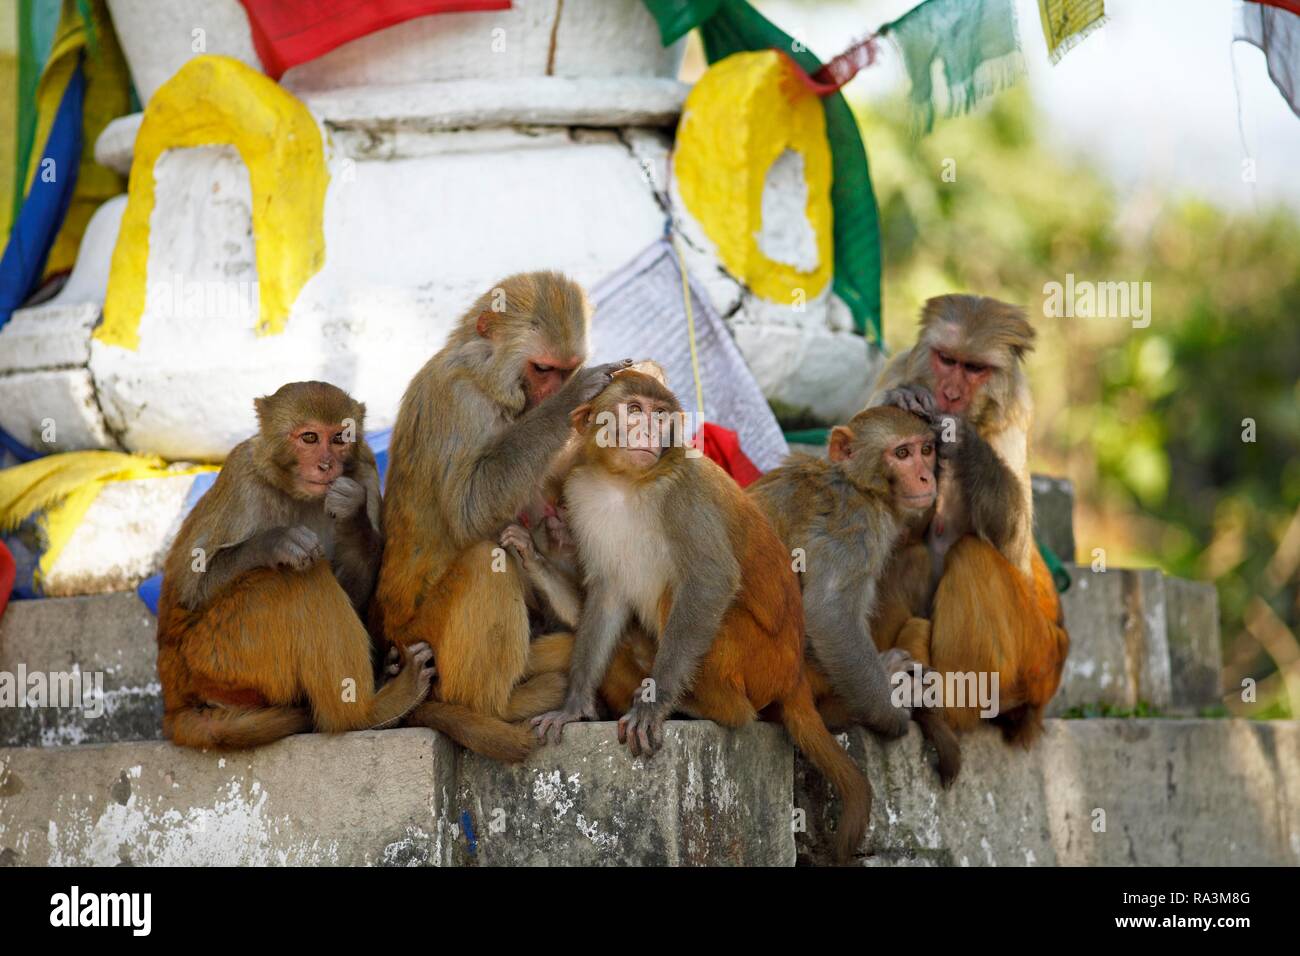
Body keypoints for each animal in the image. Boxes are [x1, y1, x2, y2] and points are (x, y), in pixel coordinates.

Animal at [156, 379, 431, 749]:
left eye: (339, 438)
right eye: (310, 438)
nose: (327, 465)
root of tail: (173, 700)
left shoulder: (367, 470)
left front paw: (352, 511)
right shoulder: (242, 476)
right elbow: (191, 590)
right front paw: (276, 542)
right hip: (212, 658)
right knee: (295, 579)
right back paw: (364, 713)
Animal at [374, 270, 631, 764]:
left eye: (566, 366)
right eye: (544, 370)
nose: (556, 391)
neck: (487, 379)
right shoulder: (458, 403)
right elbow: (468, 508)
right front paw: (571, 401)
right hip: (425, 641)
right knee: (483, 560)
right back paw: (497, 706)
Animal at [754, 403, 967, 785]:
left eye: (926, 450)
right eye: (902, 453)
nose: (926, 479)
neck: (860, 485)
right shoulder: (857, 524)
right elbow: (829, 613)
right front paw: (892, 714)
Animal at [868, 295, 1071, 743]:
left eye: (974, 369)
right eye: (947, 360)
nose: (950, 393)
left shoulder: (1018, 410)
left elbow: (1014, 549)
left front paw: (963, 440)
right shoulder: (895, 370)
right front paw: (903, 398)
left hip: (1036, 659)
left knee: (972, 556)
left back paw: (946, 706)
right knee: (905, 555)